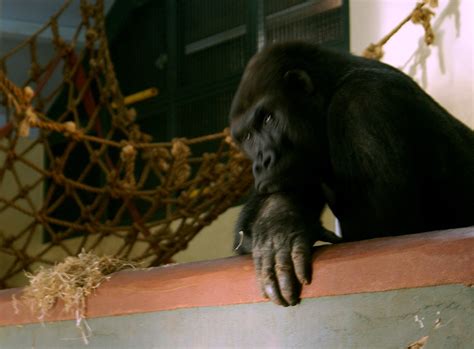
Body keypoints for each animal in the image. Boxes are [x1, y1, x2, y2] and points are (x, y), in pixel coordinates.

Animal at [229, 42, 474, 306]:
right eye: (248, 137)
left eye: (268, 119)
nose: (261, 161)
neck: (331, 88)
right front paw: (277, 220)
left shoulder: (363, 104)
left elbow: (384, 234)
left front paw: (280, 226)